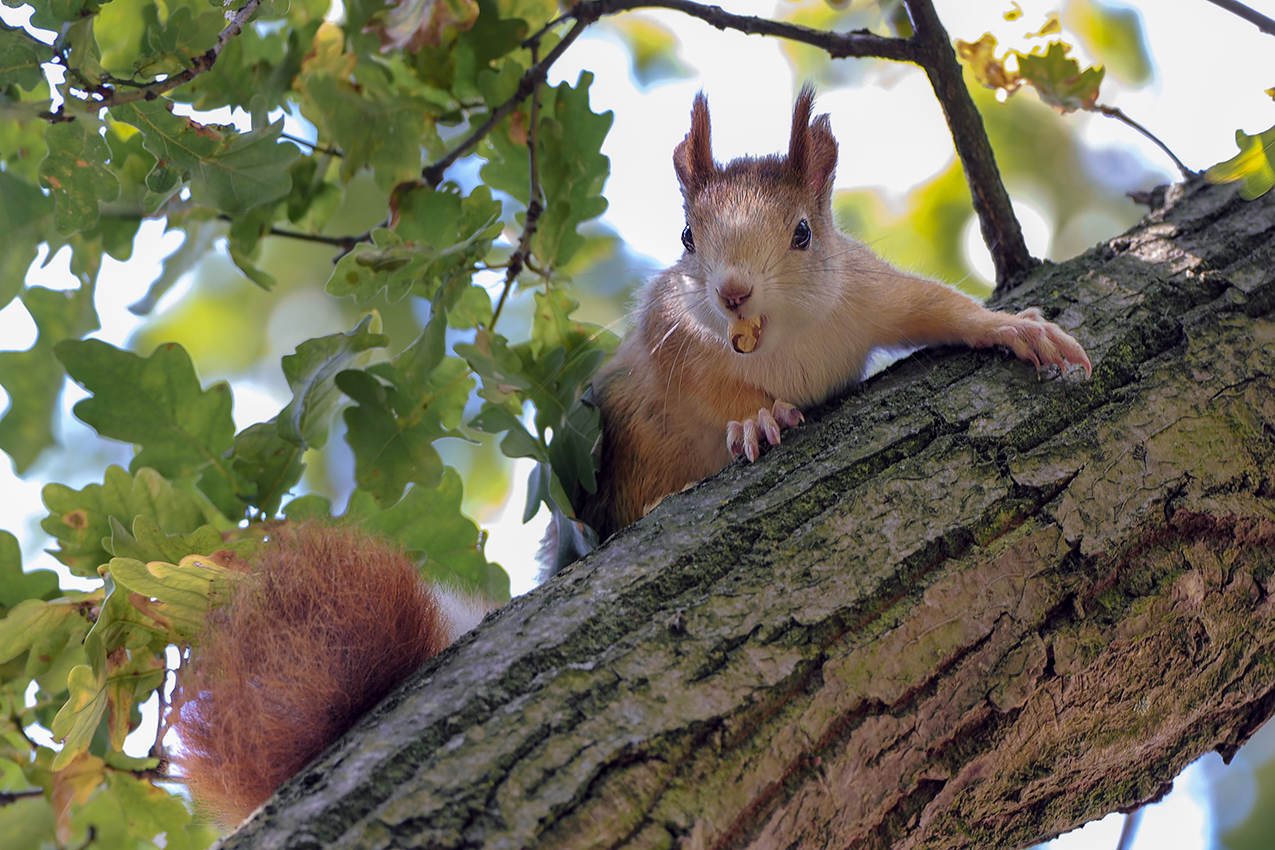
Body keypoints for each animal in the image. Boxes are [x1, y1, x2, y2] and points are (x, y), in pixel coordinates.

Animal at [573, 87, 1091, 545]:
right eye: (686, 237)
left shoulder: (867, 293)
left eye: (803, 233)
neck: (784, 338)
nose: (733, 293)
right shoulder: (669, 332)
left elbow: (933, 306)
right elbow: (708, 390)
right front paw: (755, 416)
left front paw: (1013, 327)